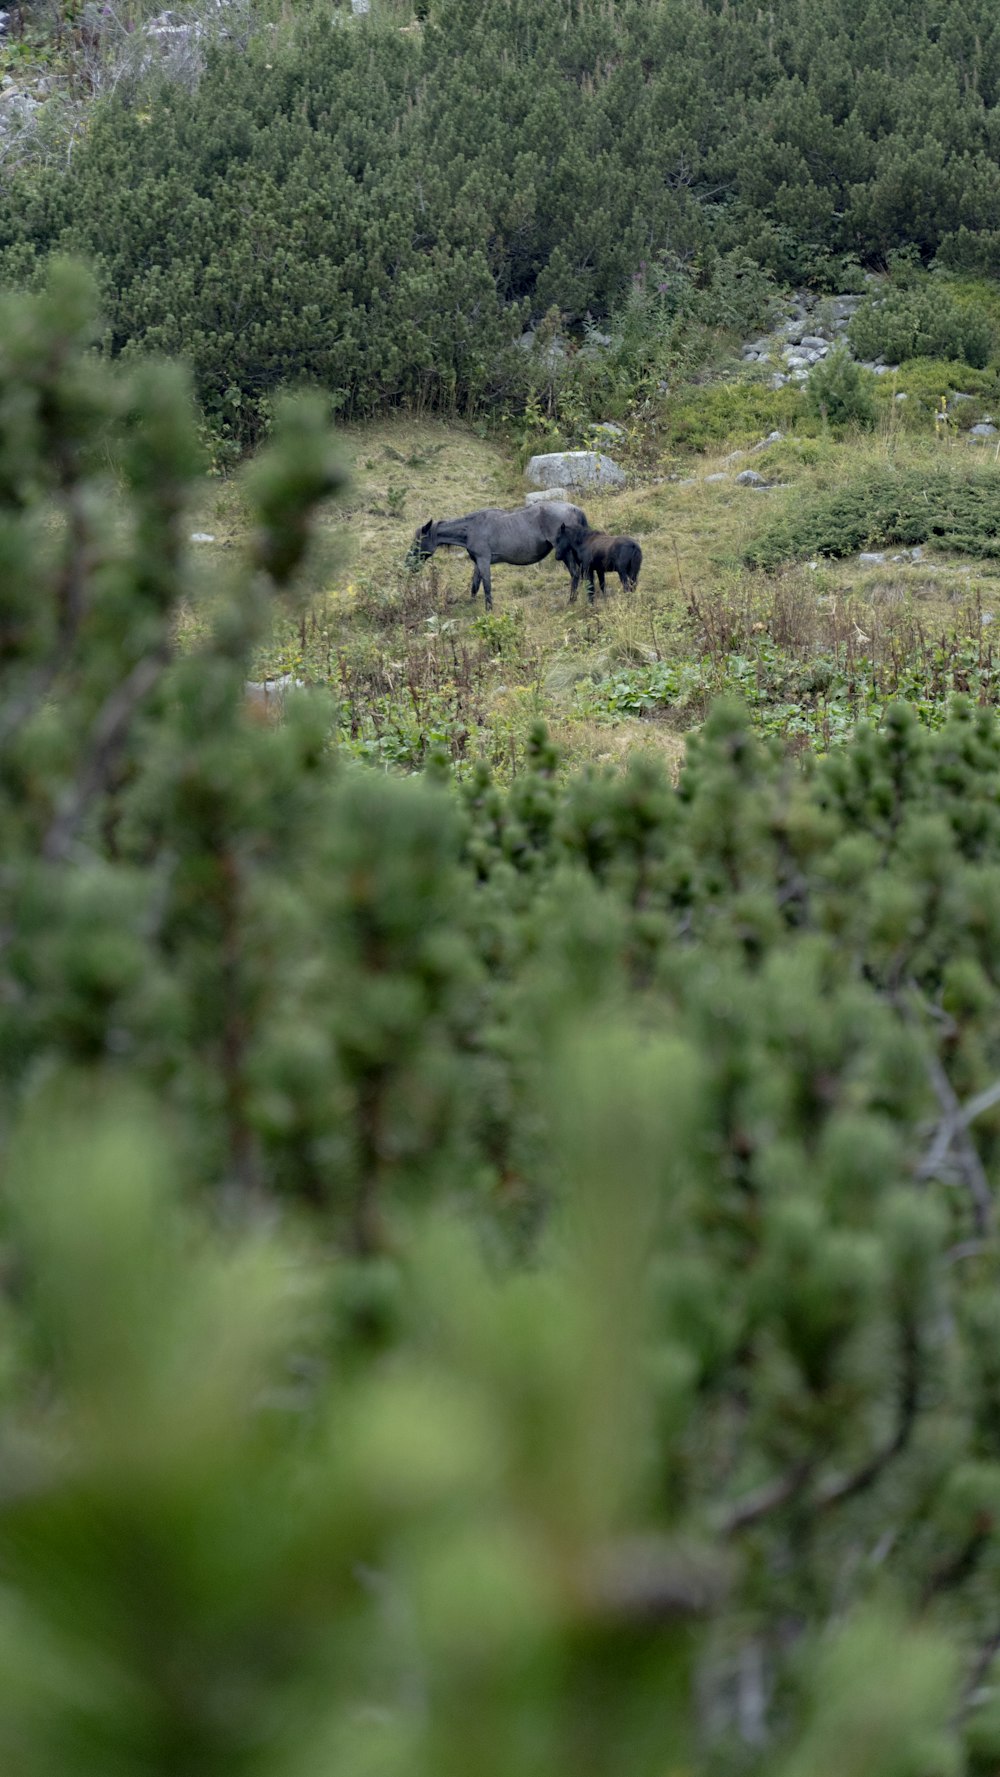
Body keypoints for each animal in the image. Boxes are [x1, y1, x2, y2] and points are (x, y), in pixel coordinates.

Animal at [412, 501, 589, 611]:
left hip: (565, 553)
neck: (471, 528)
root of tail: (575, 509)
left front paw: (488, 610)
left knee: (575, 574)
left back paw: (571, 601)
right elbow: (475, 585)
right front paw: (471, 604)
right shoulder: (478, 562)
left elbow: (487, 586)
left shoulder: (484, 560)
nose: (410, 564)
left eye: (417, 541)